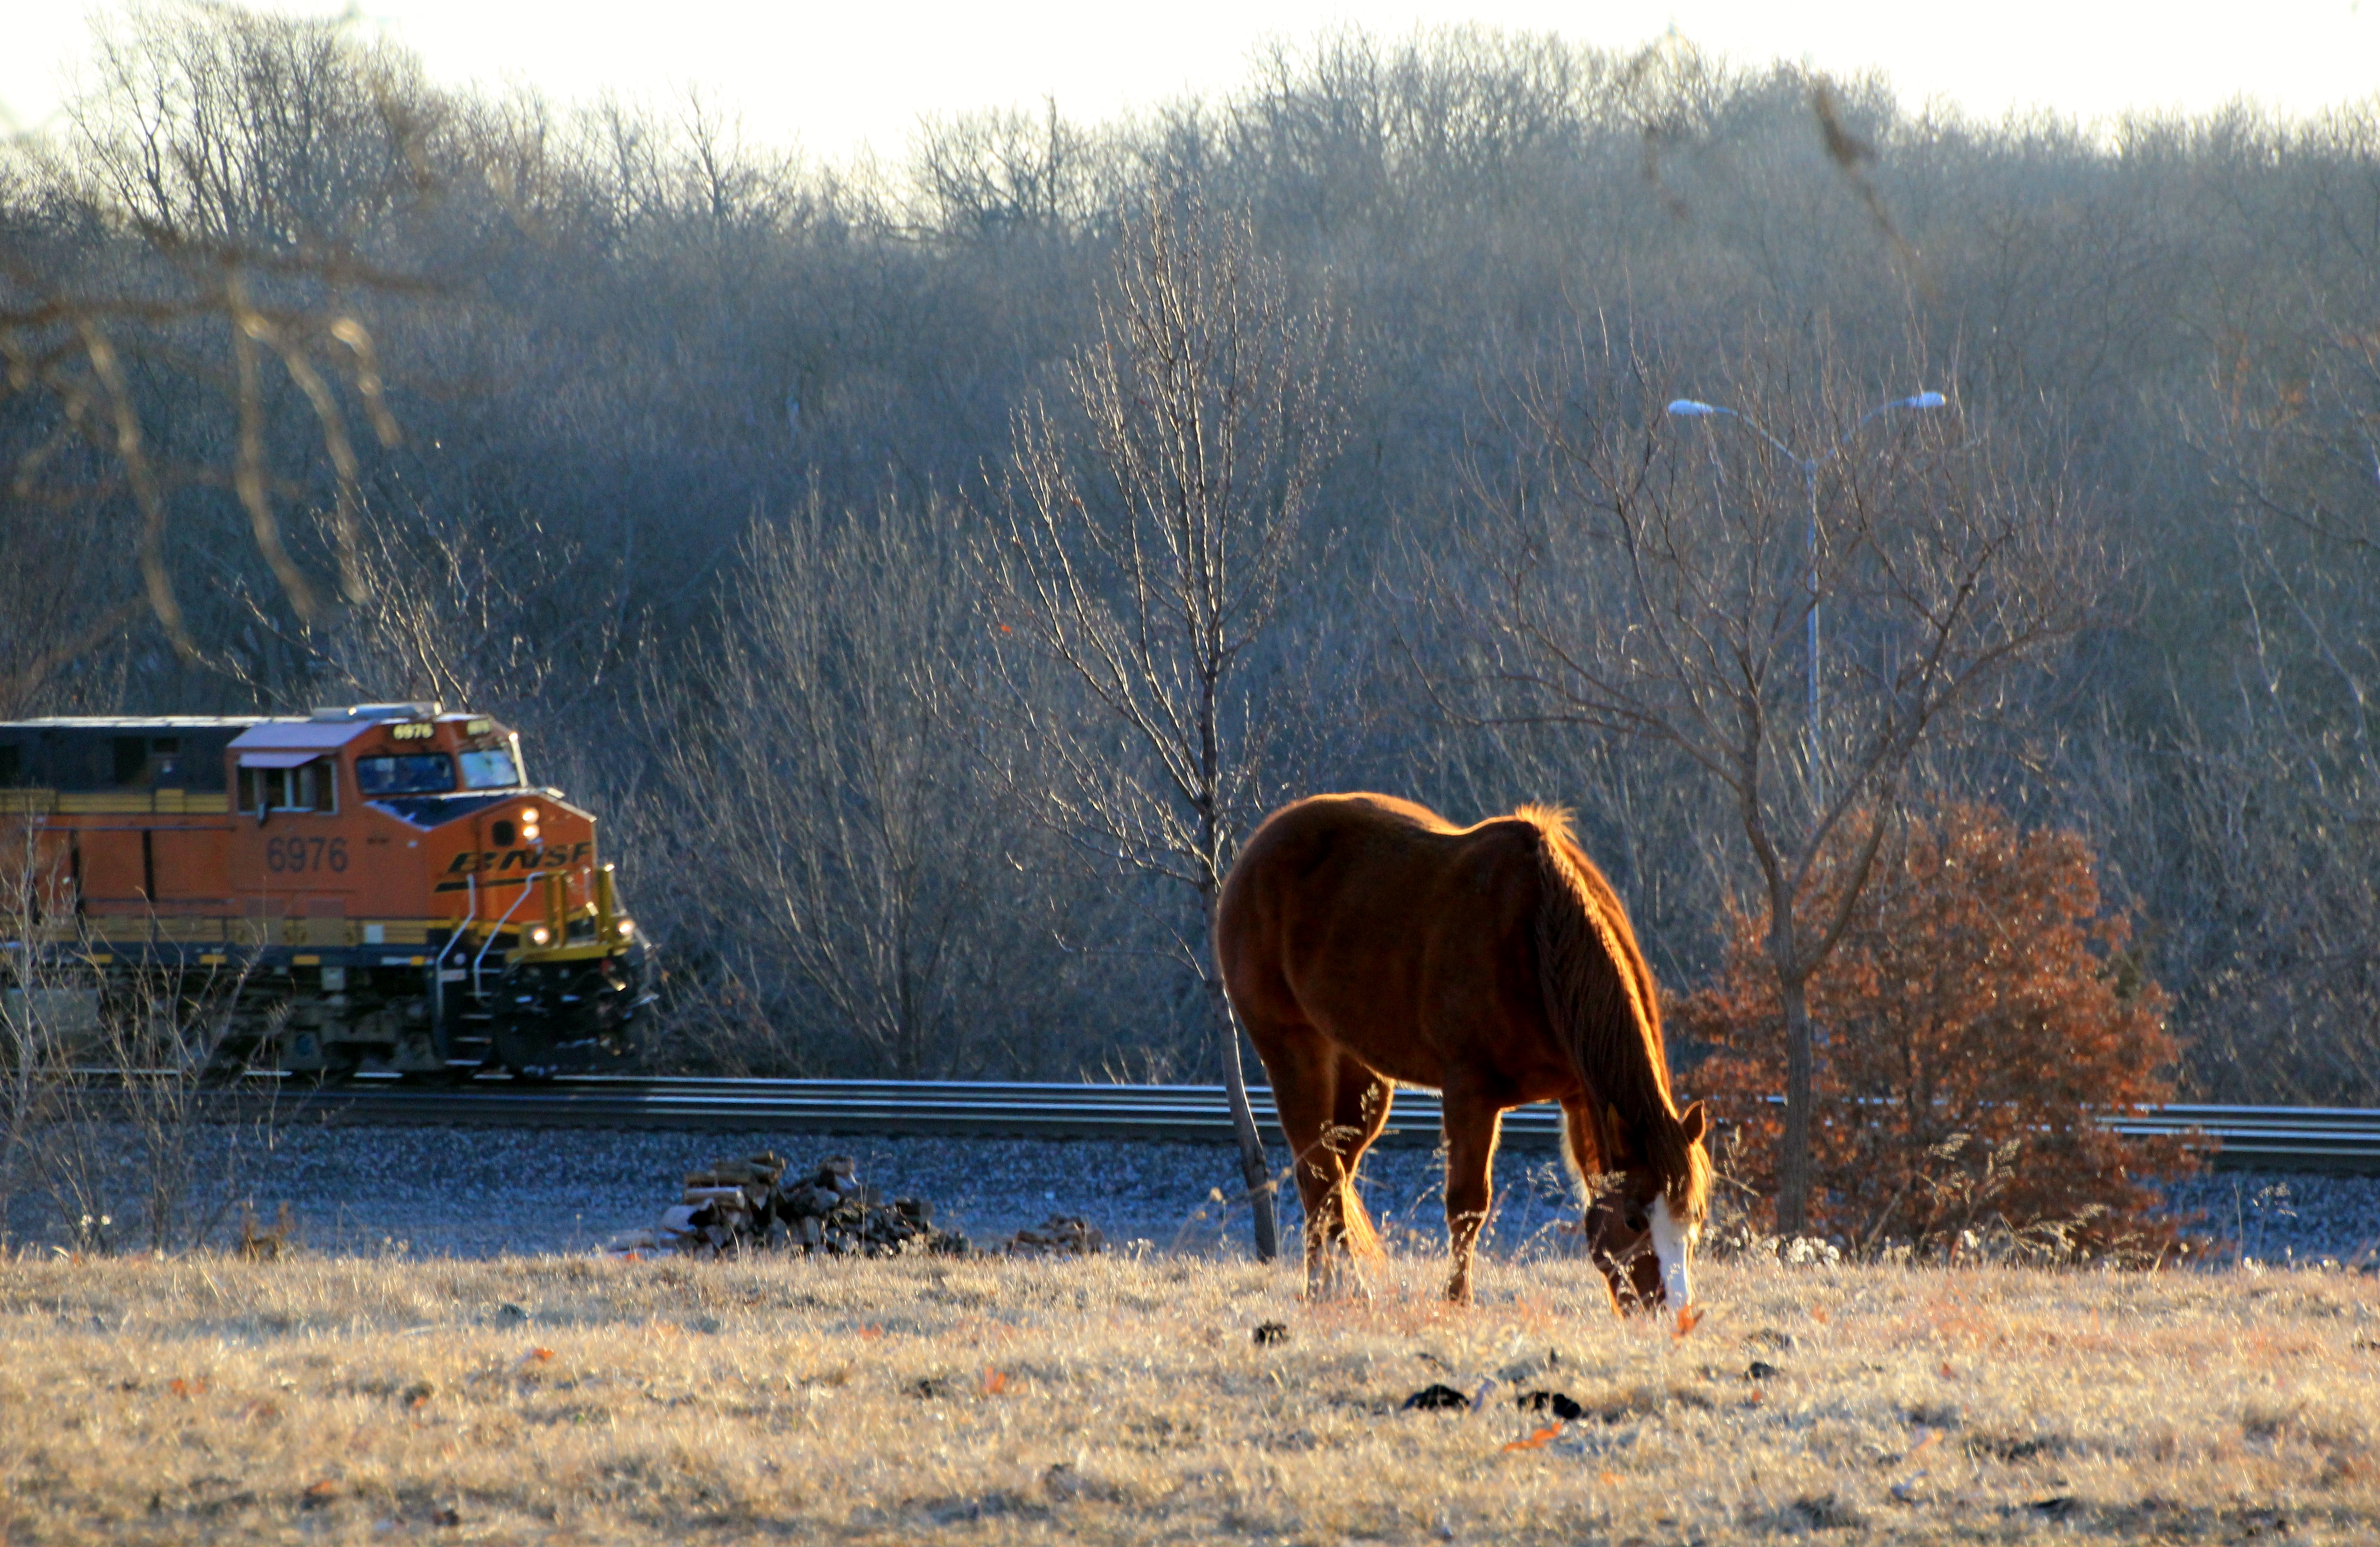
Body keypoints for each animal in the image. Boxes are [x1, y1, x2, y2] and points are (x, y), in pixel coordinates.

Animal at [1215, 793, 1711, 1311]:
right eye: (1634, 1219)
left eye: (1695, 1217)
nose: (1673, 1312)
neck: (1538, 938)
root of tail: (1257, 849)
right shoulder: (1470, 1094)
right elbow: (1468, 1205)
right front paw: (1456, 1299)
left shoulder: (1579, 1096)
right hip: (1293, 1049)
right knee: (1319, 1175)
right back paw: (1334, 1289)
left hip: (1360, 1072)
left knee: (1334, 1174)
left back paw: (1327, 1287)